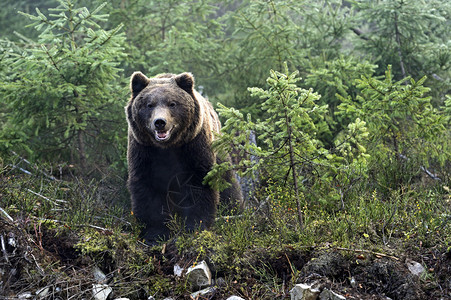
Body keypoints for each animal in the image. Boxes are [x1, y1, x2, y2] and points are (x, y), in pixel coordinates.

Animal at [125, 71, 242, 243]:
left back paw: (234, 212)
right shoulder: (144, 151)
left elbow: (198, 184)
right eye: (149, 104)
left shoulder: (194, 147)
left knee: (228, 185)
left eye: (172, 103)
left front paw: (195, 227)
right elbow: (148, 190)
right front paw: (155, 234)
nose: (160, 122)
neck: (168, 146)